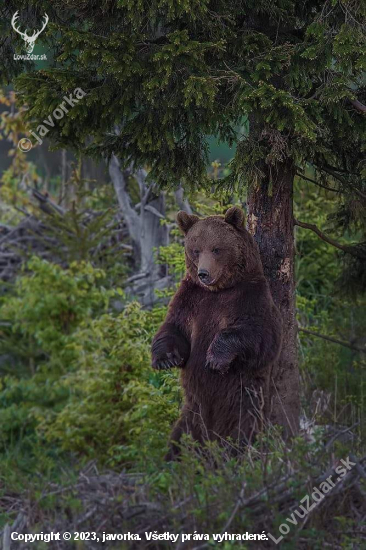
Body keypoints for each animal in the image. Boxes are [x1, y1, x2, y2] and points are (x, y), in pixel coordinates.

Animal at [152, 207, 284, 462]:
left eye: (216, 248)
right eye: (195, 249)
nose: (203, 273)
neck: (218, 290)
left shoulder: (251, 297)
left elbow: (260, 335)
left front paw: (215, 358)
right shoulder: (191, 298)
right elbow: (174, 327)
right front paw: (165, 358)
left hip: (242, 403)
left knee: (242, 432)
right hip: (192, 411)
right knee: (181, 436)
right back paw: (175, 460)